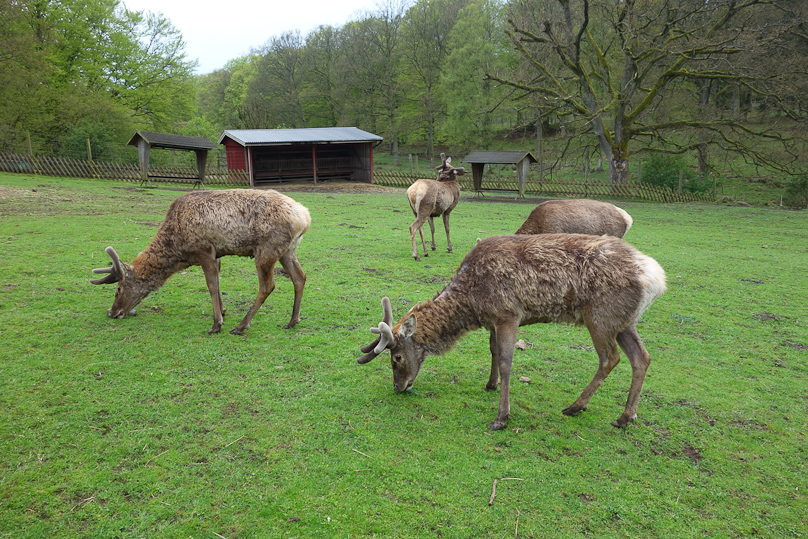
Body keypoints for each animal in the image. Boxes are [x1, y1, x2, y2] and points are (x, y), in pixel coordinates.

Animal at [90, 189, 310, 335]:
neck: (178, 250)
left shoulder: (204, 250)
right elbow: (219, 282)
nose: (112, 312)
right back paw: (292, 320)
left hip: (266, 250)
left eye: (118, 289)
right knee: (300, 277)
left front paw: (216, 324)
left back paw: (241, 326)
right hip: (288, 250)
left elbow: (212, 285)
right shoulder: (218, 253)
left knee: (267, 286)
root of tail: (305, 217)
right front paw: (223, 311)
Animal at [357, 233, 666, 430]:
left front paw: (501, 417)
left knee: (610, 358)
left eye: (396, 357)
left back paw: (575, 406)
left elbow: (507, 361)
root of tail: (657, 278)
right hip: (625, 321)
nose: (398, 387)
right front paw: (489, 384)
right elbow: (493, 351)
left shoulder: (508, 313)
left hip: (600, 317)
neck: (471, 302)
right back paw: (625, 416)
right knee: (642, 357)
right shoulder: (493, 319)